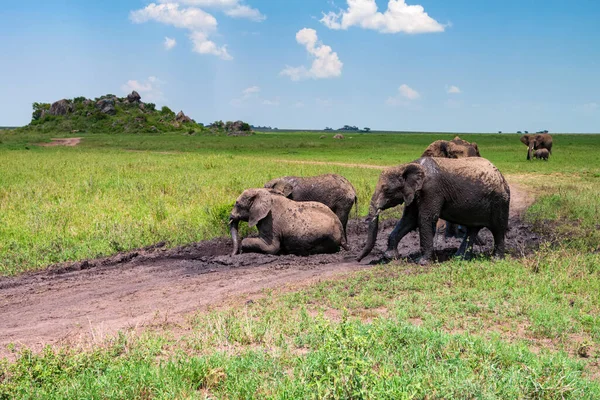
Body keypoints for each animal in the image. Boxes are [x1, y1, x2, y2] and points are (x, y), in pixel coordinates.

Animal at [356, 157, 510, 266]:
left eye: (387, 190)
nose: (358, 260)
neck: (408, 165)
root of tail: (501, 176)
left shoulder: (432, 190)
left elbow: (425, 219)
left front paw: (422, 262)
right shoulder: (415, 193)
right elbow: (408, 220)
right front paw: (389, 257)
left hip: (499, 201)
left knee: (498, 229)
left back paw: (496, 260)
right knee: (472, 229)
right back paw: (459, 258)